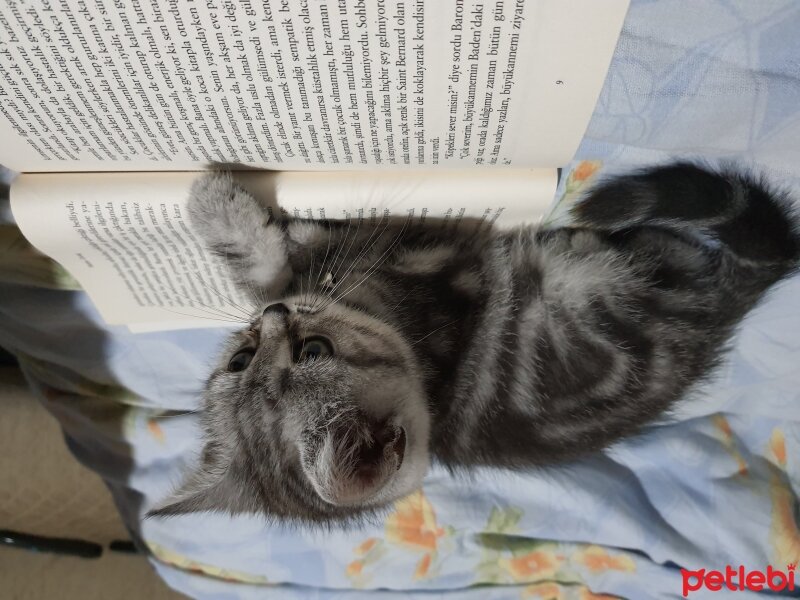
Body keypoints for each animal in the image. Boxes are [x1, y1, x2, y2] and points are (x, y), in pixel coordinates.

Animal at [148, 162, 792, 524]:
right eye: (312, 351)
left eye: (241, 358)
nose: (276, 318)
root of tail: (730, 299)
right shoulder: (428, 265)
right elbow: (301, 251)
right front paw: (237, 216)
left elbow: (280, 263)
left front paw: (220, 212)